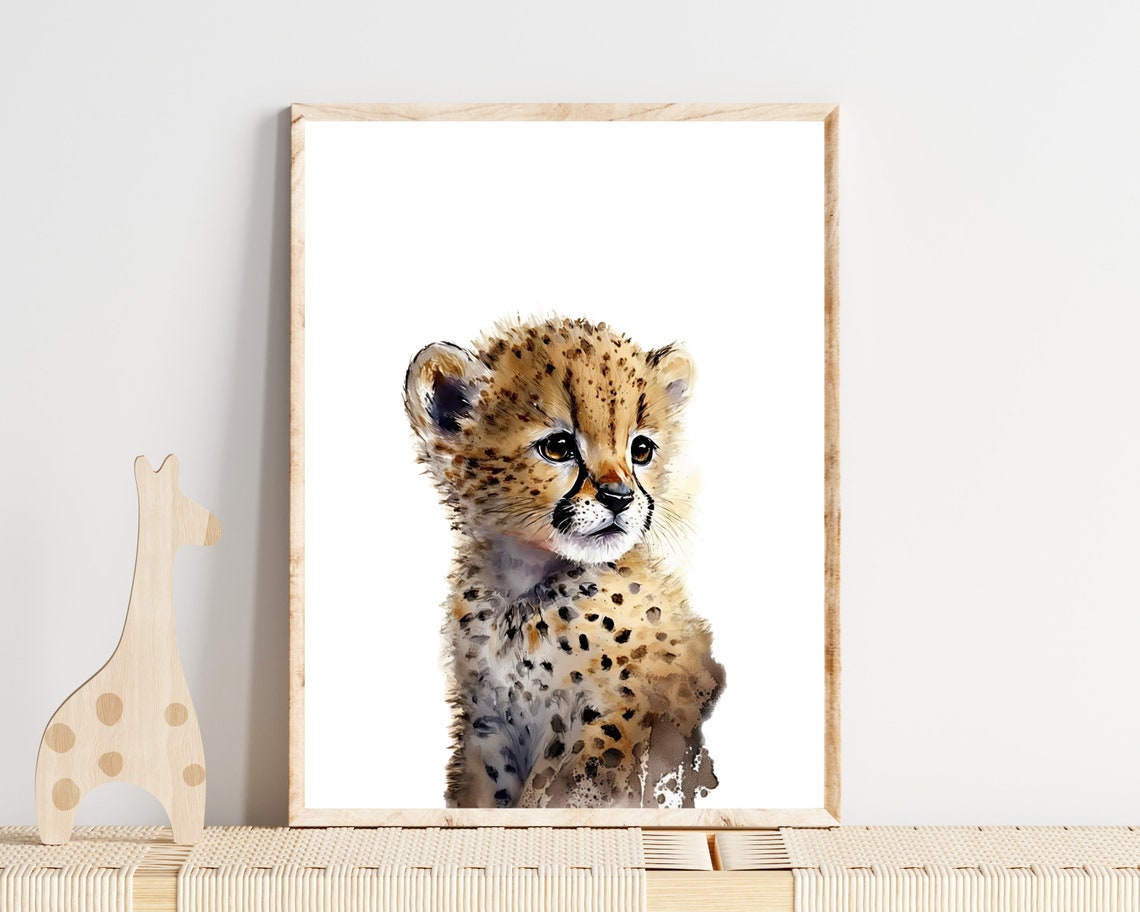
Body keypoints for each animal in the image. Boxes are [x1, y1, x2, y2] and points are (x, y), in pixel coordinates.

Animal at [404, 315, 724, 809]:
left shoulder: (610, 719)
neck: (523, 592)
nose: (619, 497)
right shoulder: (487, 723)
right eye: (558, 447)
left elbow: (558, 789)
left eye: (641, 450)